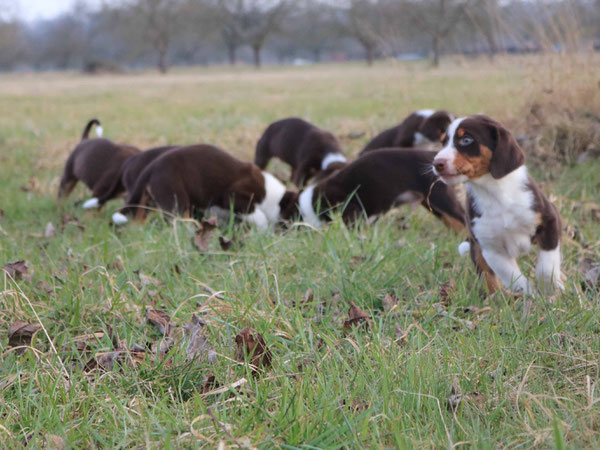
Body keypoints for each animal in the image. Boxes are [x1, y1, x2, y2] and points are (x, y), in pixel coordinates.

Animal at [112, 143, 296, 229]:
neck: (273, 196)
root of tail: (152, 167)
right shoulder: (237, 197)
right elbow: (259, 217)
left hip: (148, 201)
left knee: (138, 218)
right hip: (177, 201)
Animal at [432, 114, 564, 294]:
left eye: (466, 140)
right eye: (443, 143)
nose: (436, 163)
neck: (494, 194)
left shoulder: (549, 220)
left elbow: (547, 266)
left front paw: (549, 290)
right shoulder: (490, 248)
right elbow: (512, 277)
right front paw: (529, 295)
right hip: (476, 250)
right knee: (489, 278)